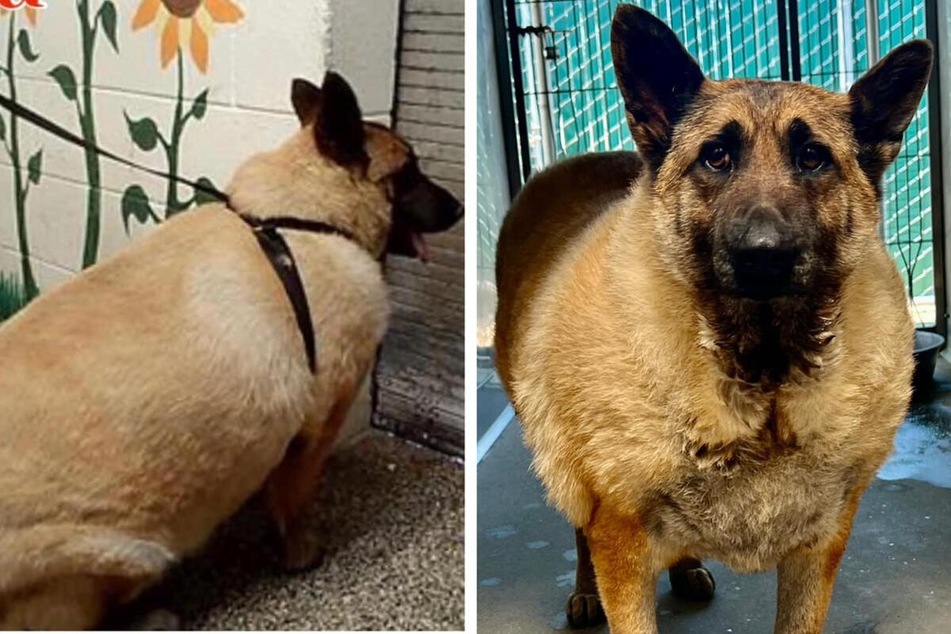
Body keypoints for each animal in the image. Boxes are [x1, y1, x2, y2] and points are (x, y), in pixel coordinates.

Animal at [0, 70, 462, 628]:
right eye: (409, 172)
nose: (460, 208)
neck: (301, 219)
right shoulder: (318, 426)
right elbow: (294, 500)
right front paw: (300, 553)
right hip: (131, 552)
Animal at [494, 6, 932, 632]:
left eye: (813, 157)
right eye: (716, 157)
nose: (764, 254)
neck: (763, 385)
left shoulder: (817, 551)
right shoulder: (620, 547)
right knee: (577, 524)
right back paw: (583, 591)